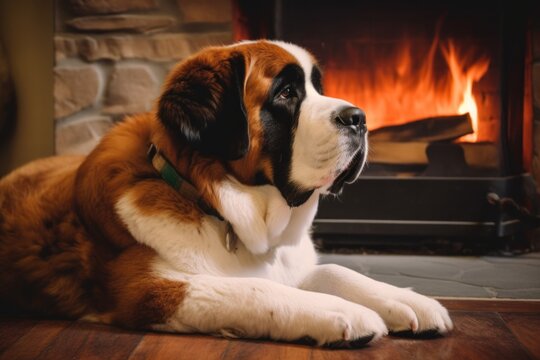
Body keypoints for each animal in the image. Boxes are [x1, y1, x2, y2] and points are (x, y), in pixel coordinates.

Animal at [0, 40, 452, 348]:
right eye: (286, 93)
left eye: (318, 88)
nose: (359, 117)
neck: (217, 207)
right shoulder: (151, 291)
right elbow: (255, 289)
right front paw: (341, 311)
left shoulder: (293, 264)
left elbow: (334, 271)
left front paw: (404, 300)